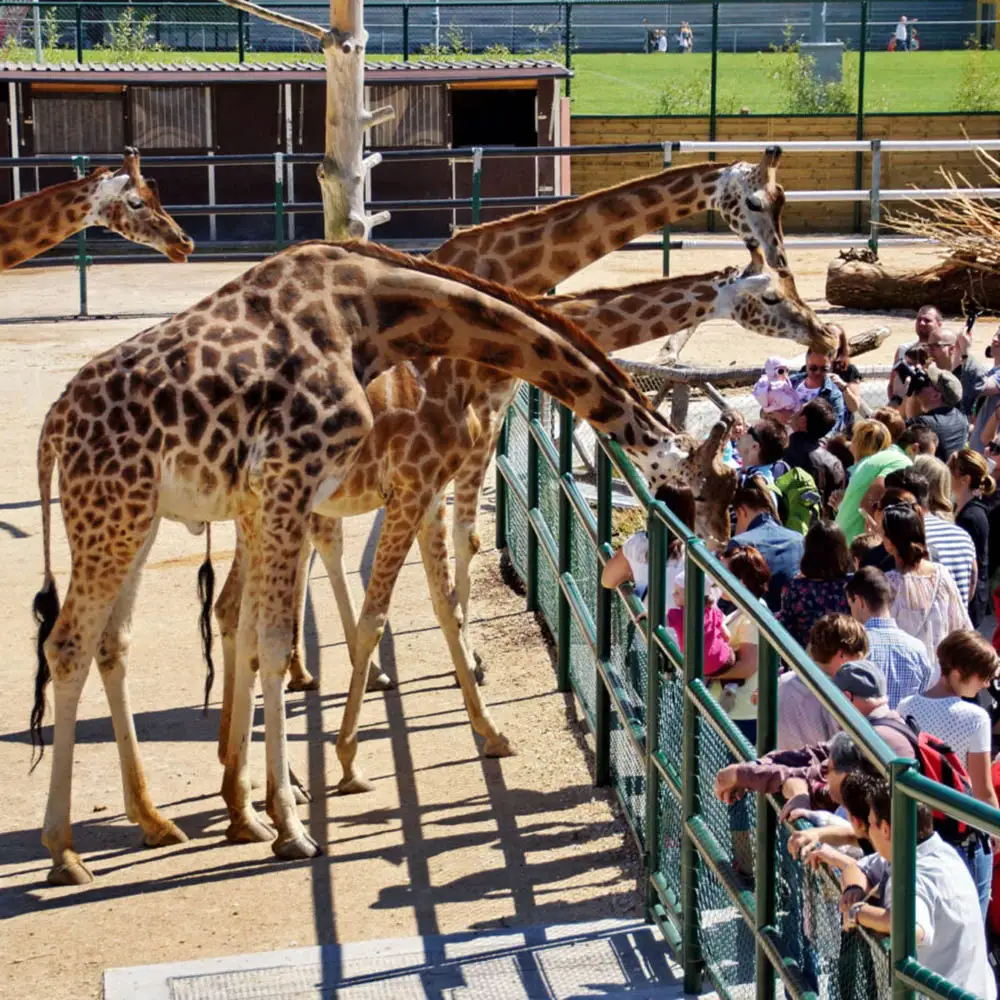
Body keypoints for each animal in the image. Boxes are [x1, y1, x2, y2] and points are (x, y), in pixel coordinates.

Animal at [30, 239, 740, 886]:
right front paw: (297, 821)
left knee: (118, 640)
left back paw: (157, 820)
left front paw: (262, 810)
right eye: (716, 493)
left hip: (140, 515)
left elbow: (307, 628)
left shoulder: (295, 493)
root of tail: (52, 426)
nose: (721, 575)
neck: (372, 314)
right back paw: (66, 851)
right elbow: (291, 636)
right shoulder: (301, 479)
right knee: (67, 644)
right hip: (114, 508)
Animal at [212, 266, 831, 793]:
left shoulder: (434, 481)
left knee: (238, 604)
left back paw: (252, 761)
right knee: (252, 600)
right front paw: (348, 759)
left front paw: (486, 721)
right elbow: (387, 609)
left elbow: (446, 596)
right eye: (771, 297)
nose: (823, 333)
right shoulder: (421, 479)